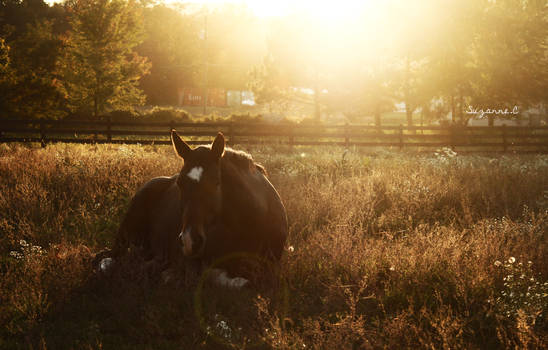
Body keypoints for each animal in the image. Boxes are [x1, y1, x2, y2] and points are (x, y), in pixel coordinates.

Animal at [97, 130, 288, 288]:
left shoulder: (271, 267)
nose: (190, 241)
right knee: (108, 258)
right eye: (180, 183)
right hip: (125, 236)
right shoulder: (193, 263)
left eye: (216, 182)